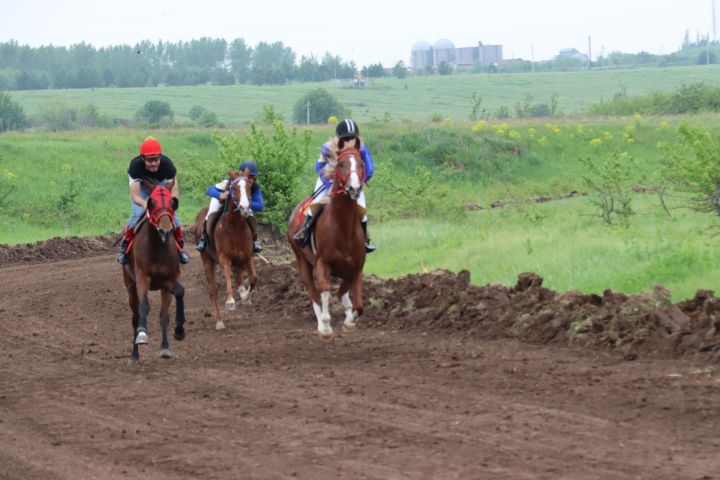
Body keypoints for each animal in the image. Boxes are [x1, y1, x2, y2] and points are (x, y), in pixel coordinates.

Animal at [121, 179, 184, 364]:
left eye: (172, 202)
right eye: (152, 202)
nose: (165, 231)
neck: (157, 247)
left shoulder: (168, 280)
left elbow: (168, 310)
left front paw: (176, 334)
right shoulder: (142, 277)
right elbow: (144, 306)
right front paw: (142, 334)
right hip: (130, 286)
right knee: (135, 318)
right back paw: (134, 355)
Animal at [193, 169, 258, 330]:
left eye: (249, 187)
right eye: (233, 188)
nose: (245, 208)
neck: (235, 227)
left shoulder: (247, 256)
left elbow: (254, 277)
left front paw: (245, 296)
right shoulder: (224, 258)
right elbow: (228, 274)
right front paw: (230, 301)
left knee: (239, 277)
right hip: (207, 260)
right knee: (213, 290)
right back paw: (219, 321)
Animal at [286, 141, 366, 340]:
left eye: (361, 164)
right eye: (342, 164)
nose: (355, 188)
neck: (342, 228)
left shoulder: (356, 268)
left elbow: (357, 304)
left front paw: (349, 321)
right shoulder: (322, 263)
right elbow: (324, 291)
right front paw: (326, 327)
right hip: (302, 261)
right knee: (313, 293)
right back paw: (321, 325)